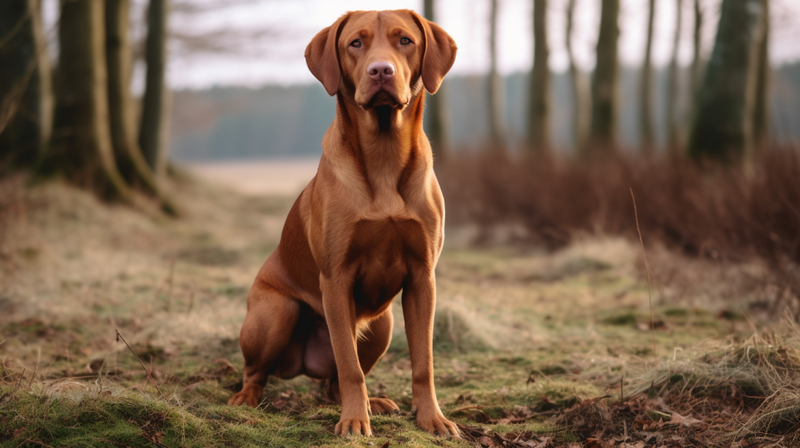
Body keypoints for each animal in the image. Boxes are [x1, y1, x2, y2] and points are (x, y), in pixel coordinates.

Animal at [228, 9, 460, 438]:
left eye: (405, 40)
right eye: (356, 43)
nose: (380, 70)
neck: (384, 155)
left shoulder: (423, 278)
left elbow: (423, 363)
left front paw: (431, 418)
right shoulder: (336, 279)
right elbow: (350, 367)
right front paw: (354, 421)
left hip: (382, 324)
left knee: (334, 381)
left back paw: (374, 403)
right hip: (275, 313)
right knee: (262, 371)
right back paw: (247, 398)